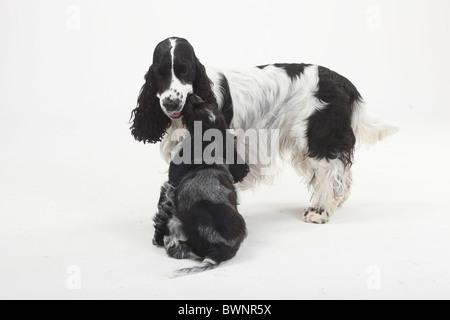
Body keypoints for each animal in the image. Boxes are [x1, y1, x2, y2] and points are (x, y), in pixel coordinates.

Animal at [153, 95, 248, 276]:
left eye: (192, 109)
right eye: (207, 103)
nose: (191, 96)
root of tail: (217, 251)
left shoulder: (169, 190)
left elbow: (160, 215)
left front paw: (156, 239)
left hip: (176, 222)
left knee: (177, 247)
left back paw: (167, 242)